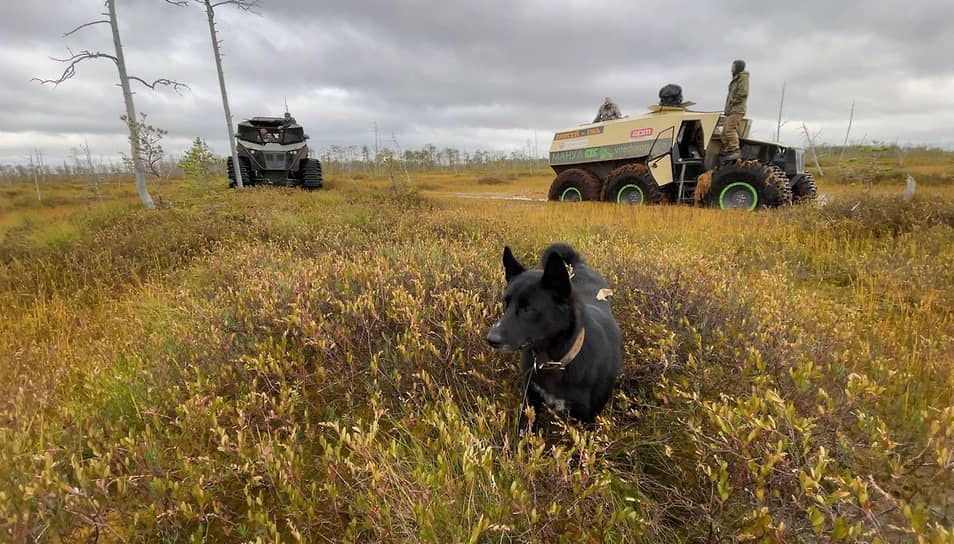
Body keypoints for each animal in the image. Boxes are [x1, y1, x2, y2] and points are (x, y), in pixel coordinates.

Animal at [488, 244, 620, 422]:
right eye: (505, 303)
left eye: (528, 308)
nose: (490, 339)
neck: (554, 361)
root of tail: (580, 265)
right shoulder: (530, 402)